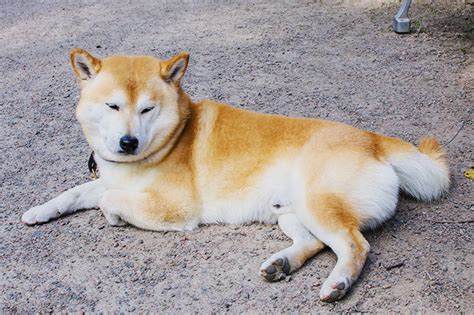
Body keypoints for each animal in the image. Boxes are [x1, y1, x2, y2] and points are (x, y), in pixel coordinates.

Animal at [22, 48, 450, 302]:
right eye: (112, 106)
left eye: (146, 109)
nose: (128, 142)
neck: (172, 137)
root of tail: (374, 140)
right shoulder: (112, 178)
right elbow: (76, 193)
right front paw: (40, 211)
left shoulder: (175, 208)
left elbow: (107, 200)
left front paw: (112, 216)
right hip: (291, 211)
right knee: (315, 243)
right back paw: (282, 264)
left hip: (316, 203)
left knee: (355, 245)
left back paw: (338, 283)